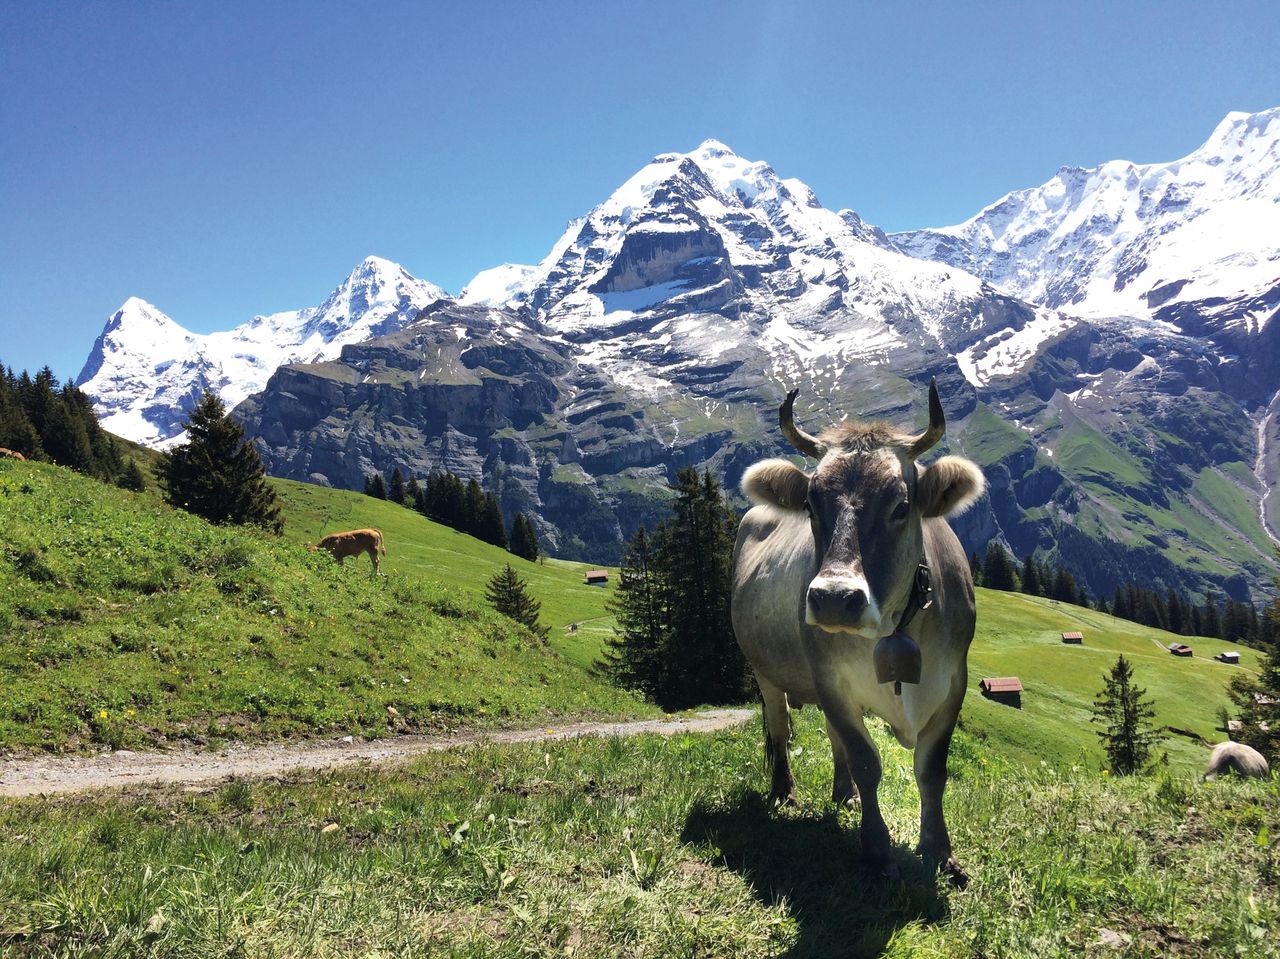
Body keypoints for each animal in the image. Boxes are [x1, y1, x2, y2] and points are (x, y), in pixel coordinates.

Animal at [731, 379, 986, 882]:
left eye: (902, 506)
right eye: (810, 505)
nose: (834, 598)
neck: (893, 626)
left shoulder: (954, 683)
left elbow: (932, 771)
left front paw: (940, 852)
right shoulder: (831, 680)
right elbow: (868, 762)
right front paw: (876, 849)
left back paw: (842, 794)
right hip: (765, 671)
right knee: (780, 727)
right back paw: (784, 790)